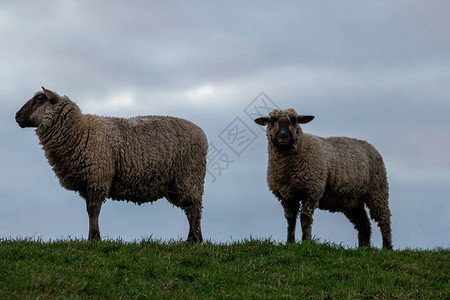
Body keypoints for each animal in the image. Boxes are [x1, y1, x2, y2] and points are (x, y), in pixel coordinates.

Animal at [14, 87, 208, 241]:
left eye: (39, 99)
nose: (17, 116)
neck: (79, 131)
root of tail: (202, 133)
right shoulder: (87, 183)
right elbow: (89, 210)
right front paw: (92, 237)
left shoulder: (98, 177)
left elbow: (94, 210)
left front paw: (94, 239)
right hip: (175, 184)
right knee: (191, 208)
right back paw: (195, 239)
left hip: (189, 176)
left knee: (194, 209)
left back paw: (193, 240)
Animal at [255, 108, 392, 248]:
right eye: (272, 121)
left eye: (294, 120)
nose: (283, 136)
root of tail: (369, 145)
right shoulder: (286, 195)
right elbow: (291, 220)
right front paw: (290, 243)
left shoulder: (312, 190)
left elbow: (305, 218)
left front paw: (306, 242)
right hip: (353, 201)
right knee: (364, 225)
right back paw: (363, 248)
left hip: (377, 191)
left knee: (384, 219)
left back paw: (387, 247)